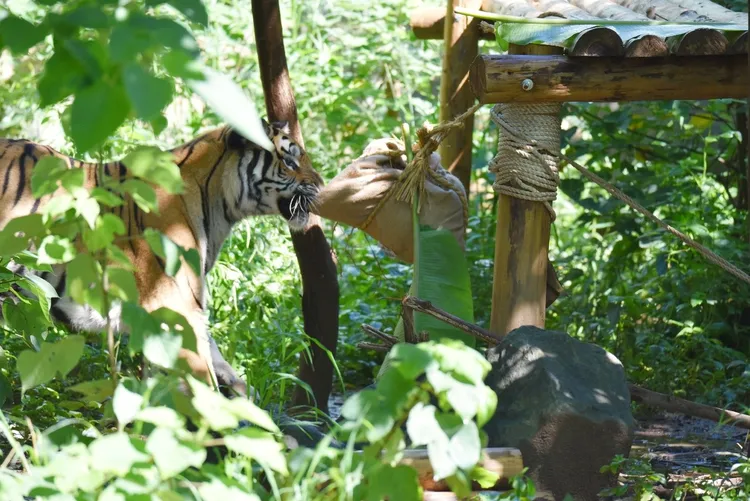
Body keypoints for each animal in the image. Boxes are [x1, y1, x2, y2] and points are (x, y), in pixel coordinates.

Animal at [0, 120, 323, 397]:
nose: (321, 184)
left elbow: (218, 368)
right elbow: (203, 384)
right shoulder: (175, 308)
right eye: (290, 161)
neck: (219, 203)